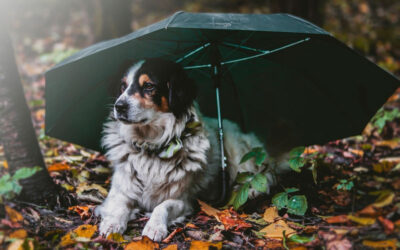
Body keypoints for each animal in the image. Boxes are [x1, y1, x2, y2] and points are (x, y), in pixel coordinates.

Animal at [94, 57, 288, 241]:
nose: (118, 106)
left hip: (238, 150)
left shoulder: (183, 200)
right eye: (122, 86)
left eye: (149, 86)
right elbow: (119, 205)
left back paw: (251, 190)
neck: (151, 146)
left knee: (264, 175)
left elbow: (161, 206)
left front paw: (154, 226)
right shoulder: (121, 190)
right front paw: (112, 223)